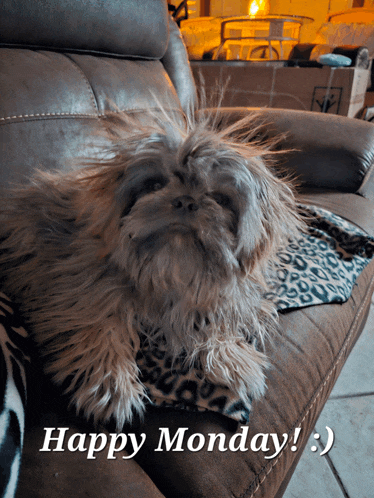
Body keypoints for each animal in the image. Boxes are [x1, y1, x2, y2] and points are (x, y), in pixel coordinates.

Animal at [0, 108, 300, 428]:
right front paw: (112, 385)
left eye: (220, 199)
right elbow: (101, 330)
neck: (171, 269)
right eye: (155, 185)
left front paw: (231, 356)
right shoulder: (78, 290)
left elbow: (214, 320)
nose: (186, 201)